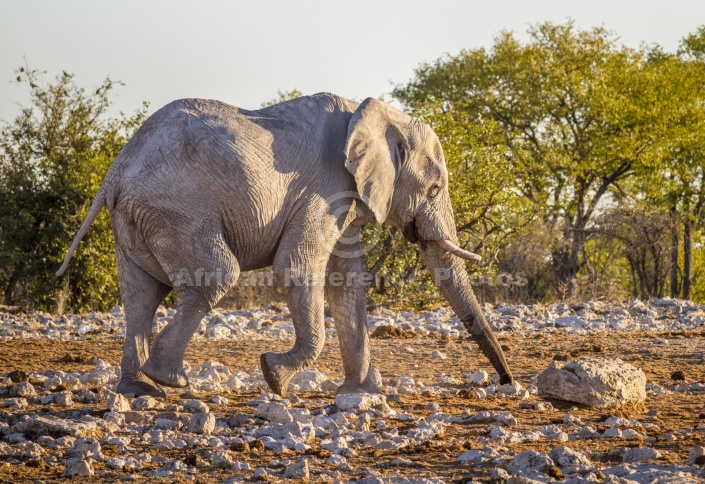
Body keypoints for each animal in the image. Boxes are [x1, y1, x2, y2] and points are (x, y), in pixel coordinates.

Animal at [56, 93, 512, 398]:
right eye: (434, 189)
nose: (507, 381)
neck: (377, 114)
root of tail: (115, 171)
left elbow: (346, 282)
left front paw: (360, 393)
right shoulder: (325, 187)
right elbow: (297, 265)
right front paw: (274, 376)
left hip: (136, 218)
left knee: (140, 296)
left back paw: (140, 391)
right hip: (174, 209)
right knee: (215, 277)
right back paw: (172, 380)